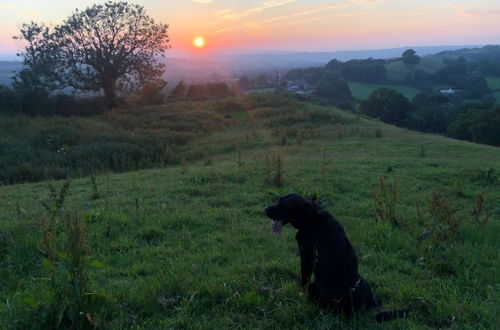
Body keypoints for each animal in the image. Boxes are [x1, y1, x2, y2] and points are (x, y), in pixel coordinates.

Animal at [264, 193, 408, 322]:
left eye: (282, 204)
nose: (265, 209)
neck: (312, 217)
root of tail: (358, 312)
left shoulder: (306, 254)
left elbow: (304, 278)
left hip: (314, 288)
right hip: (365, 283)